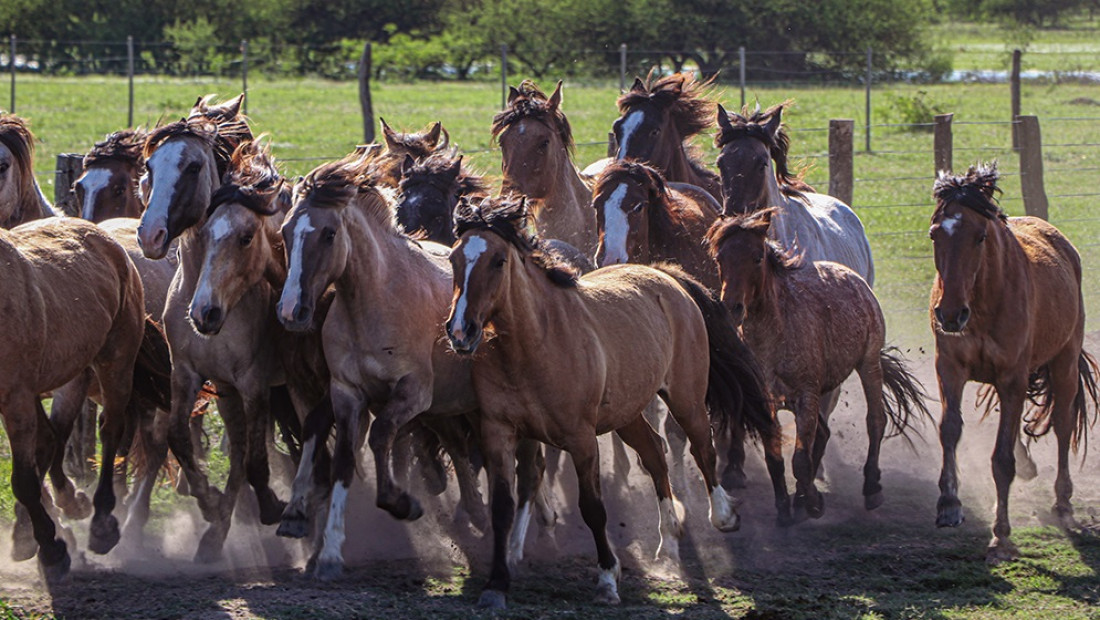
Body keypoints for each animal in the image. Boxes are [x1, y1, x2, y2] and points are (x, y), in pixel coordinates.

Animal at [0, 216, 148, 580]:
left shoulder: (15, 398)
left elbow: (23, 480)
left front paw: (53, 552)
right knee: (49, 441)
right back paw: (37, 526)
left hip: (114, 361)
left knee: (111, 430)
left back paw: (101, 524)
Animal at [444, 195, 774, 606]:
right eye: (454, 259)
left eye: (498, 261)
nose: (460, 331)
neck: (535, 343)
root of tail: (666, 276)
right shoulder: (499, 432)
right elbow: (502, 508)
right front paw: (495, 586)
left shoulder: (582, 439)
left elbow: (593, 508)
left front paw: (607, 579)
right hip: (628, 413)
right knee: (654, 453)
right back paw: (668, 544)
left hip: (686, 397)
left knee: (703, 448)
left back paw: (724, 517)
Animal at [704, 206, 928, 523]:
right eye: (720, 258)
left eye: (757, 257)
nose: (732, 307)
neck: (775, 333)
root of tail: (853, 277)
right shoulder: (767, 400)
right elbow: (776, 457)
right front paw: (785, 507)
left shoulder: (806, 396)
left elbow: (800, 459)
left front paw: (809, 503)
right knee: (823, 435)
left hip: (868, 365)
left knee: (875, 421)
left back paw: (872, 487)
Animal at [928, 162, 1100, 562]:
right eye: (934, 234)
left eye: (979, 237)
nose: (950, 314)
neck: (983, 300)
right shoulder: (950, 369)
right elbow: (950, 430)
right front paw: (948, 505)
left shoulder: (1011, 378)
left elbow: (1001, 459)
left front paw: (1001, 535)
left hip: (1064, 363)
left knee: (1063, 425)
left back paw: (1063, 504)